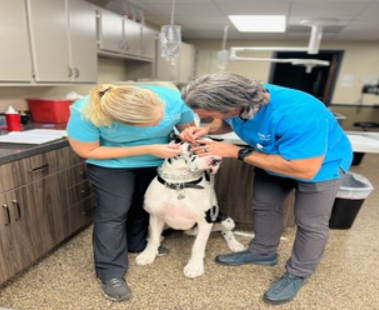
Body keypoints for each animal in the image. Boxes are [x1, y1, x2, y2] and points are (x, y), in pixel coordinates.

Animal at [135, 139, 245, 278]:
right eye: (194, 146)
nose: (217, 160)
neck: (180, 183)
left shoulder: (205, 222)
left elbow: (198, 247)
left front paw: (194, 267)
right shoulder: (155, 216)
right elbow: (154, 239)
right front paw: (148, 255)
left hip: (226, 219)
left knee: (226, 231)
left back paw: (234, 244)